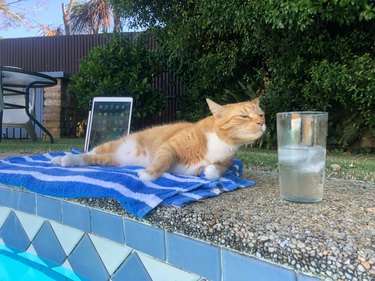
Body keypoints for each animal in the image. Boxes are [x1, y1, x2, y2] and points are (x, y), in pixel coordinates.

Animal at [51, 98, 266, 182]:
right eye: (244, 116)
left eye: (261, 115)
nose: (262, 123)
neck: (222, 142)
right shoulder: (169, 147)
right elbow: (163, 161)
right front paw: (149, 173)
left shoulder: (224, 163)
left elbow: (215, 171)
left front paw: (209, 171)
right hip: (109, 146)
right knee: (88, 152)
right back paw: (61, 158)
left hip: (113, 160)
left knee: (90, 158)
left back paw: (65, 160)